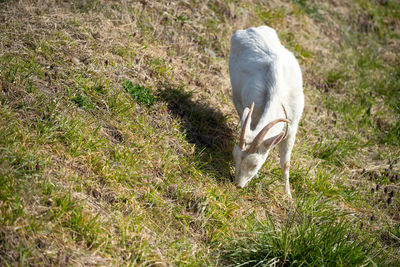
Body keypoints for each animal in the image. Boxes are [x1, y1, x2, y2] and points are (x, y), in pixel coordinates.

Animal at [228, 26, 304, 198]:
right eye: (234, 155)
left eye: (255, 164)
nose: (237, 185)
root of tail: (250, 29)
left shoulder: (292, 128)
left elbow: (286, 163)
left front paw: (288, 197)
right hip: (237, 97)